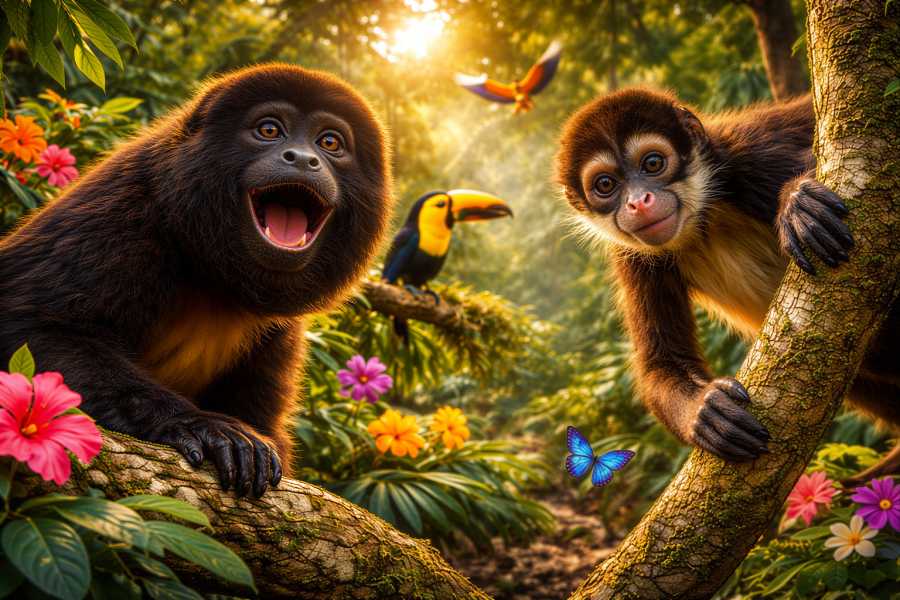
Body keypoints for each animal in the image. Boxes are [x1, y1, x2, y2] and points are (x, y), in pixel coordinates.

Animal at [0, 64, 392, 497]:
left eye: (329, 142)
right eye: (269, 130)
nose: (304, 158)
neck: (215, 278)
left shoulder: (283, 327)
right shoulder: (122, 210)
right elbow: (34, 326)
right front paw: (197, 425)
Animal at [555, 88, 900, 480]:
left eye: (653, 163)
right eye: (606, 185)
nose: (639, 202)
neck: (703, 221)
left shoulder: (745, 156)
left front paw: (797, 201)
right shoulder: (632, 257)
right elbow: (661, 362)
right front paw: (705, 413)